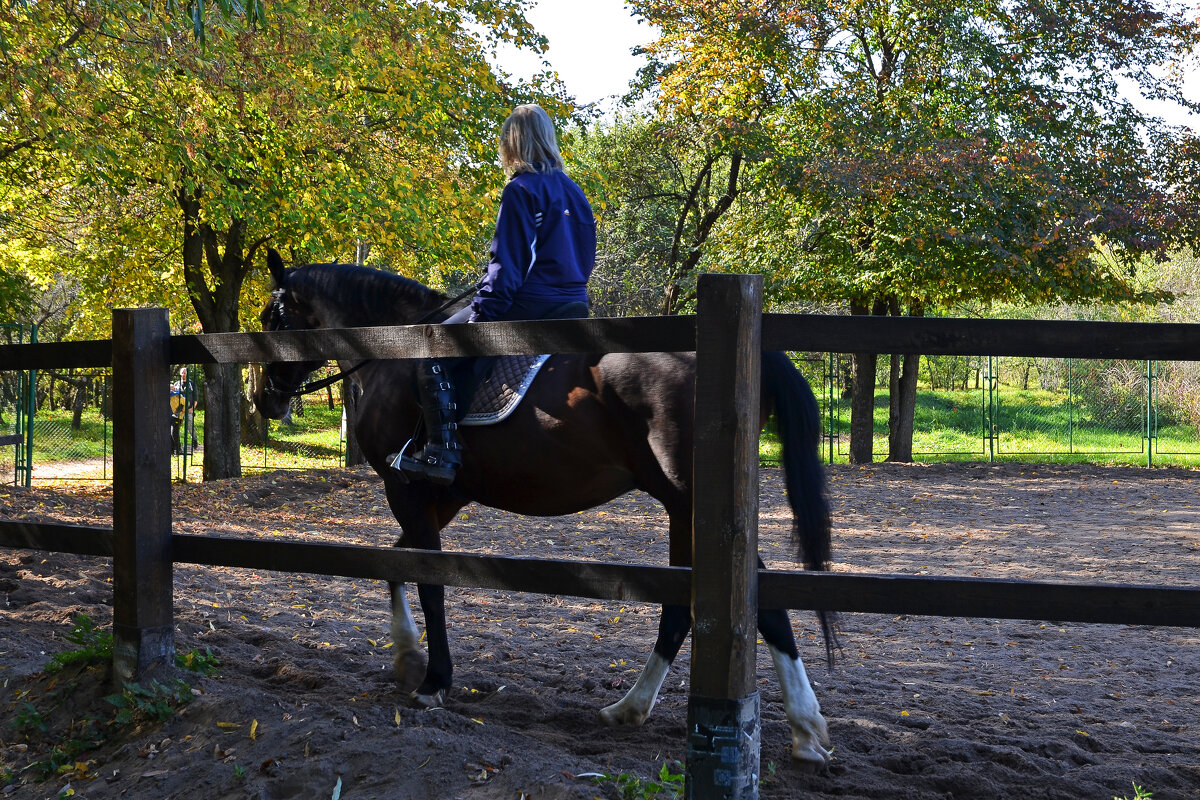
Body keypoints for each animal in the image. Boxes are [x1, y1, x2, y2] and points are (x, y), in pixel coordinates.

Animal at [253, 250, 835, 767]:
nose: (266, 400)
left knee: (759, 603)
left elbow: (428, 580)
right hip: (680, 509)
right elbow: (396, 566)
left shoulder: (407, 490)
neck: (392, 349)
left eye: (271, 317)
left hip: (693, 504)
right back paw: (630, 708)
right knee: (683, 607)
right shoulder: (440, 497)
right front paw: (406, 657)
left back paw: (804, 729)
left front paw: (433, 680)